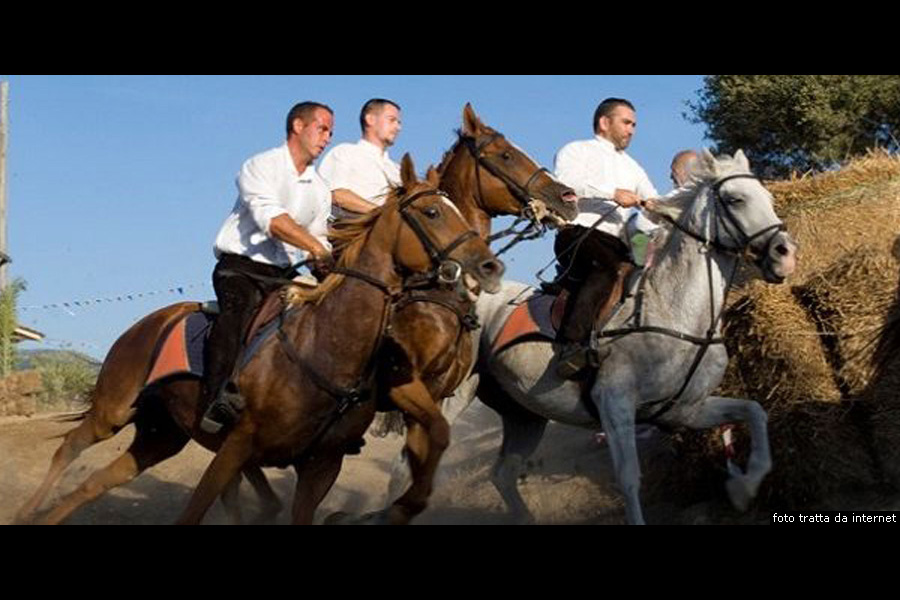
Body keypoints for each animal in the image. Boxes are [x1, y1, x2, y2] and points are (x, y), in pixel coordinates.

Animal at [16, 154, 504, 525]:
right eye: (432, 212)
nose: (488, 266)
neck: (326, 346)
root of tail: (145, 323)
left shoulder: (322, 464)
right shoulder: (238, 444)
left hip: (161, 433)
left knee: (96, 481)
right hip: (115, 408)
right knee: (69, 447)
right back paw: (25, 511)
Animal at [403, 149, 798, 524]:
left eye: (767, 195)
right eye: (735, 199)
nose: (786, 253)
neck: (674, 311)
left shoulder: (685, 410)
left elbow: (755, 412)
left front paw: (744, 488)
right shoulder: (615, 402)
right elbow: (629, 478)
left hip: (524, 415)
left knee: (502, 473)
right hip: (453, 396)